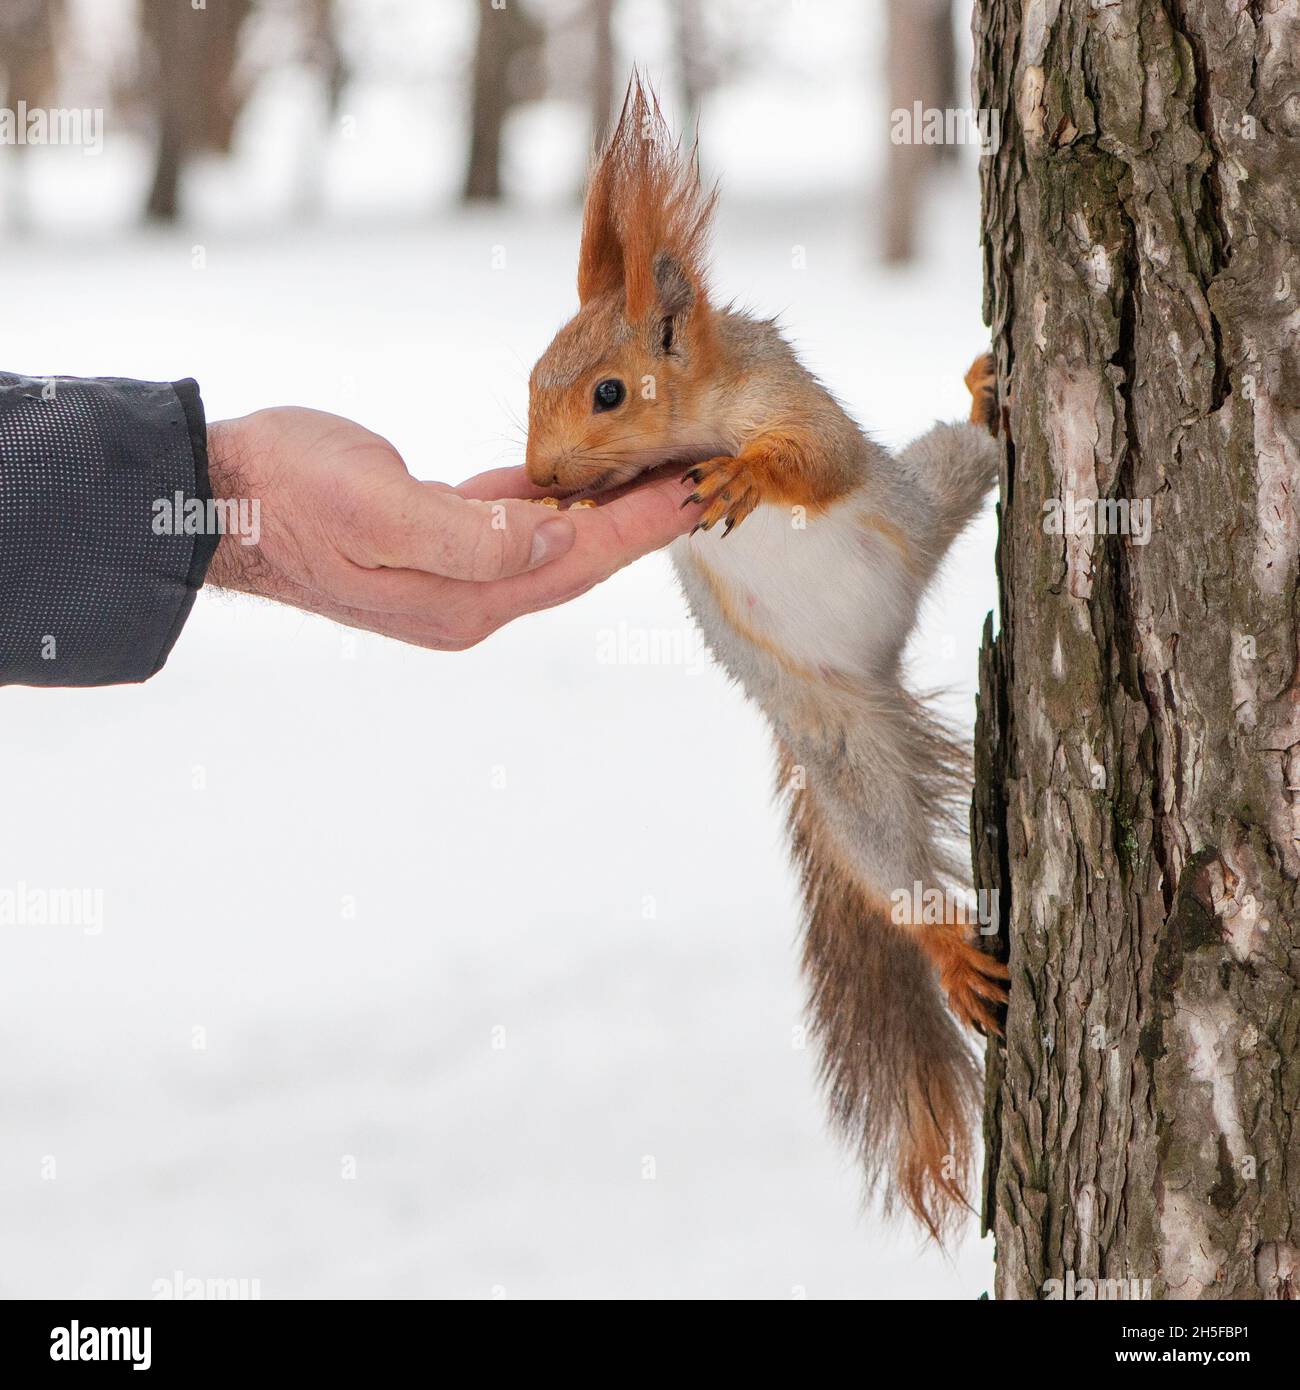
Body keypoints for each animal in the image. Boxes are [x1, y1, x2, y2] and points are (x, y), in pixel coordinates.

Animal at [524, 79, 1008, 1241]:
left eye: (608, 392)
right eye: (530, 379)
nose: (540, 474)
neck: (694, 423)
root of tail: (878, 659)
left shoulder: (791, 402)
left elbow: (812, 462)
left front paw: (747, 477)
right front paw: (576, 507)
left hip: (920, 496)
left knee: (958, 457)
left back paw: (984, 404)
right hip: (845, 758)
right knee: (890, 870)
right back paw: (942, 943)